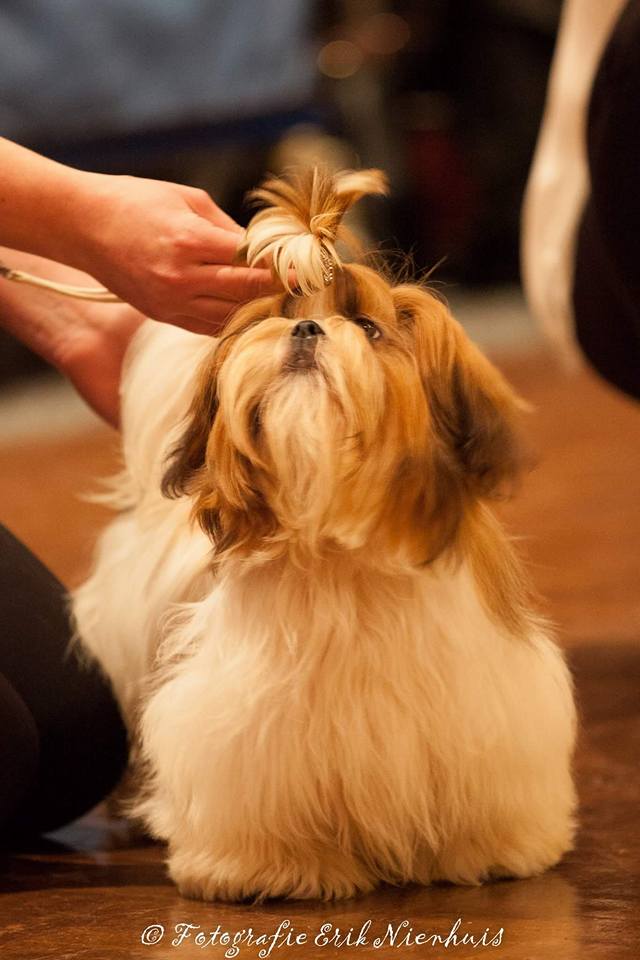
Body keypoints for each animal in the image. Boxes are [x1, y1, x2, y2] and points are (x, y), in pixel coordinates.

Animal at [72, 167, 576, 902]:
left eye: (367, 328)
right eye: (280, 319)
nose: (308, 327)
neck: (337, 538)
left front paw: (489, 848)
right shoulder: (244, 724)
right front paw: (270, 867)